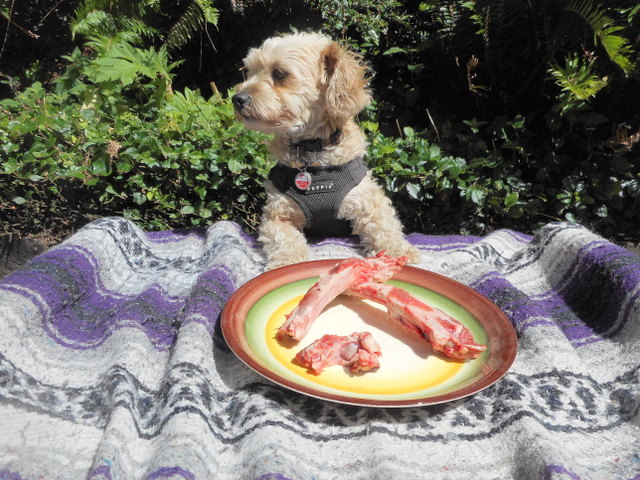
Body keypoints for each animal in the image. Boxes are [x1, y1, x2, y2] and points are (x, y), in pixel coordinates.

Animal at [230, 32, 420, 270]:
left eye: (280, 73)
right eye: (249, 72)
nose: (236, 98)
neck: (313, 151)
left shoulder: (369, 200)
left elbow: (385, 226)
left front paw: (399, 251)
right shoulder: (276, 214)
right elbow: (284, 238)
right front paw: (287, 262)